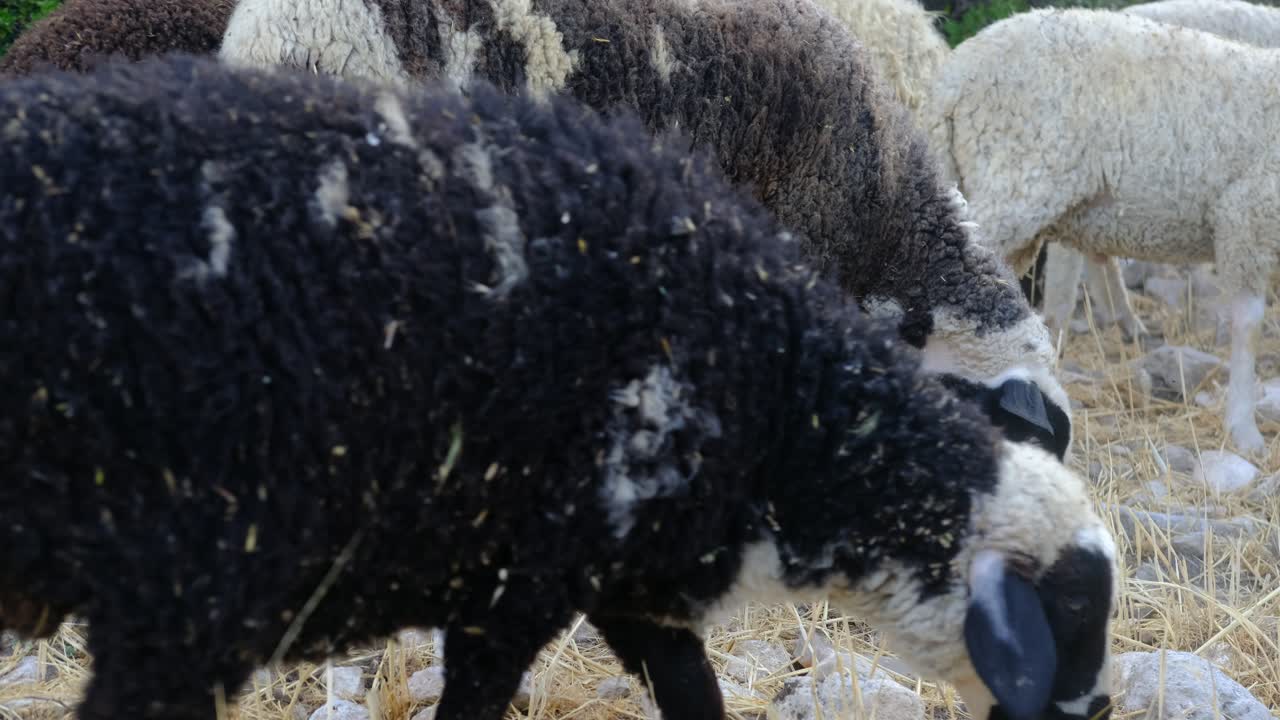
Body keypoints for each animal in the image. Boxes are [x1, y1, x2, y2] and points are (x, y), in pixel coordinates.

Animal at [0, 54, 1117, 720]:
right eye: (1070, 611)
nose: (1100, 706)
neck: (785, 418)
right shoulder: (510, 581)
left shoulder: (623, 578)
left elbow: (694, 692)